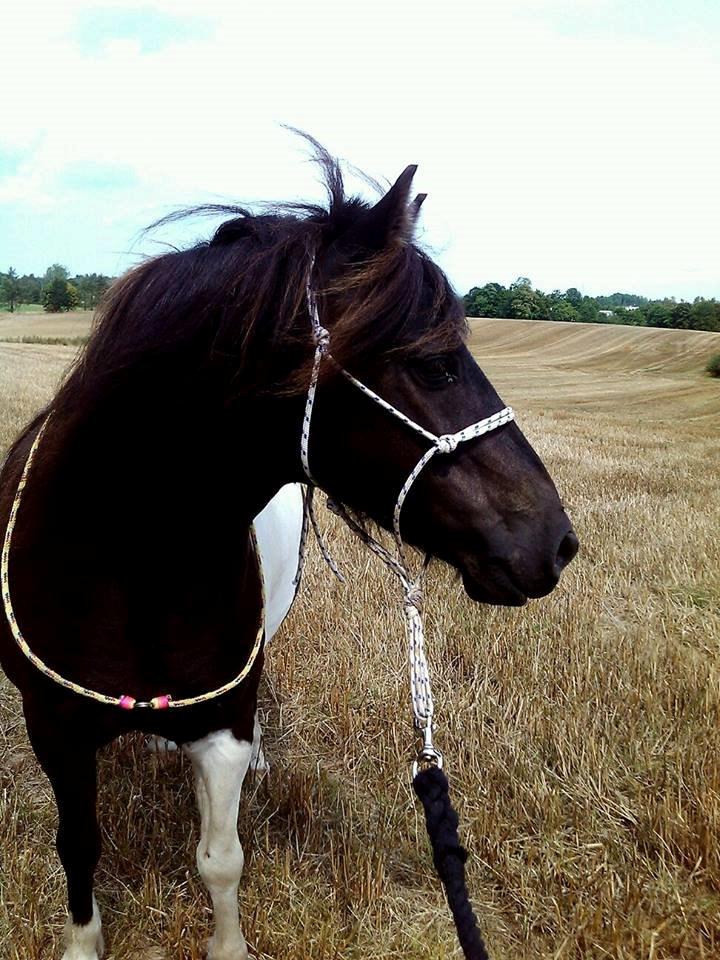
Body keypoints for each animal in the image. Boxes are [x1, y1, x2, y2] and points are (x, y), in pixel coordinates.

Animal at [0, 139, 576, 956]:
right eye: (436, 364)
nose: (554, 542)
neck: (122, 564)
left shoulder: (222, 729)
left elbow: (221, 858)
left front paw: (228, 945)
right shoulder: (54, 729)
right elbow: (78, 849)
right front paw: (82, 944)